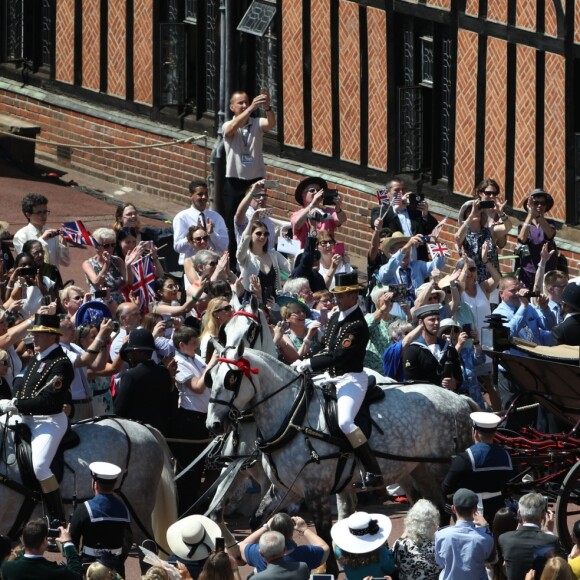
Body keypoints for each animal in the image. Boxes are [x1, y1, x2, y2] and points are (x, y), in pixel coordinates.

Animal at [206, 344, 478, 576]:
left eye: (231, 378)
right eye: (210, 377)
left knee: (446, 509)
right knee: (432, 507)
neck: (294, 418)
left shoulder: (315, 490)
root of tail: (458, 398)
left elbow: (324, 535)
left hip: (440, 470)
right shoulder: (285, 490)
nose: (213, 425)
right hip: (417, 470)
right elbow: (257, 523)